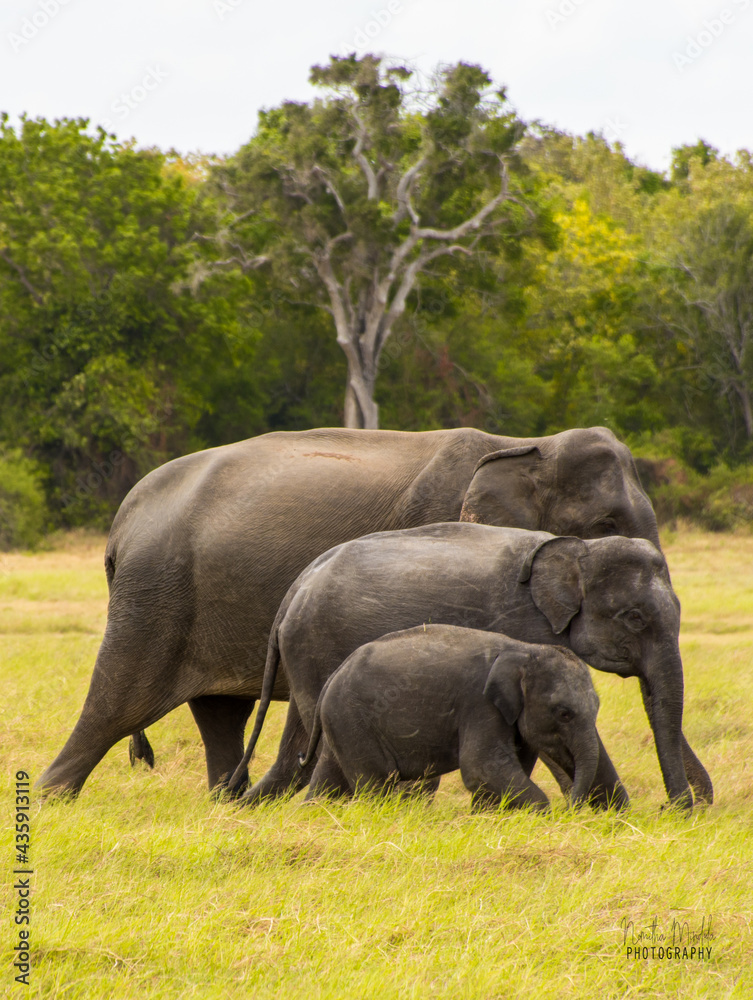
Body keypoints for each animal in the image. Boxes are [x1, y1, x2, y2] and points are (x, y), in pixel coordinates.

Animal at [298, 624, 628, 812]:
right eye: (563, 713)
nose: (571, 810)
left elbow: (503, 769)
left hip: (341, 722)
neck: (524, 650)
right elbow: (481, 766)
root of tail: (335, 673)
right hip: (353, 720)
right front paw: (541, 814)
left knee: (330, 780)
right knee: (376, 782)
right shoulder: (480, 704)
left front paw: (489, 816)